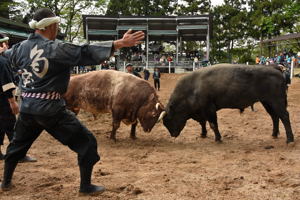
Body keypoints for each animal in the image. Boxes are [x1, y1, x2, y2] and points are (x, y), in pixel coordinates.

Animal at [163, 64, 294, 144]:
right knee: (275, 117)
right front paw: (203, 134)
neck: (192, 87)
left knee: (284, 116)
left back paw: (290, 139)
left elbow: (213, 124)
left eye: (169, 119)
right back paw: (274, 134)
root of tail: (275, 68)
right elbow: (203, 123)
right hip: (267, 102)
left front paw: (218, 138)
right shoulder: (201, 111)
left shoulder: (209, 109)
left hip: (276, 102)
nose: (173, 134)